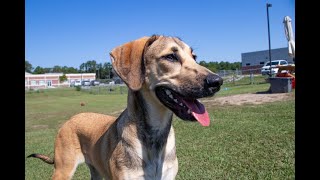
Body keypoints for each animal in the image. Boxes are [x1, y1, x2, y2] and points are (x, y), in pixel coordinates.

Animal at [26, 34, 222, 179]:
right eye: (170, 56)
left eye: (194, 57)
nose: (217, 81)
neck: (155, 138)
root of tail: (72, 118)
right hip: (63, 170)